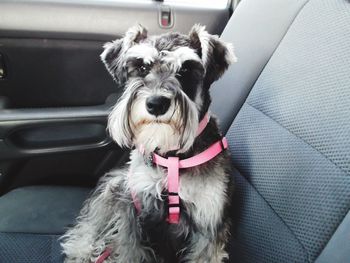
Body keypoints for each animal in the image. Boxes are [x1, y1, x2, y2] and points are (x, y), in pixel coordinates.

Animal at [61, 24, 237, 263]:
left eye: (185, 70)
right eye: (142, 67)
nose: (156, 103)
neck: (172, 157)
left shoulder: (209, 223)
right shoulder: (133, 209)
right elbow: (130, 250)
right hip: (115, 186)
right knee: (93, 221)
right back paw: (82, 248)